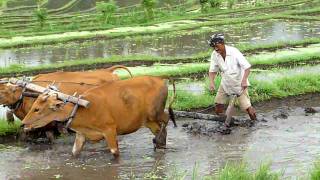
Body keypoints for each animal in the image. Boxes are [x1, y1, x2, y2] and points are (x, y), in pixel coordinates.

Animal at [21, 76, 178, 158]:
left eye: (37, 109)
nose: (22, 124)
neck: (81, 108)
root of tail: (162, 80)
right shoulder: (81, 134)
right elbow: (74, 152)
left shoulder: (110, 130)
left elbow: (115, 153)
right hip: (148, 121)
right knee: (161, 130)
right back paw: (160, 144)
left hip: (155, 113)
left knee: (166, 120)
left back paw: (158, 142)